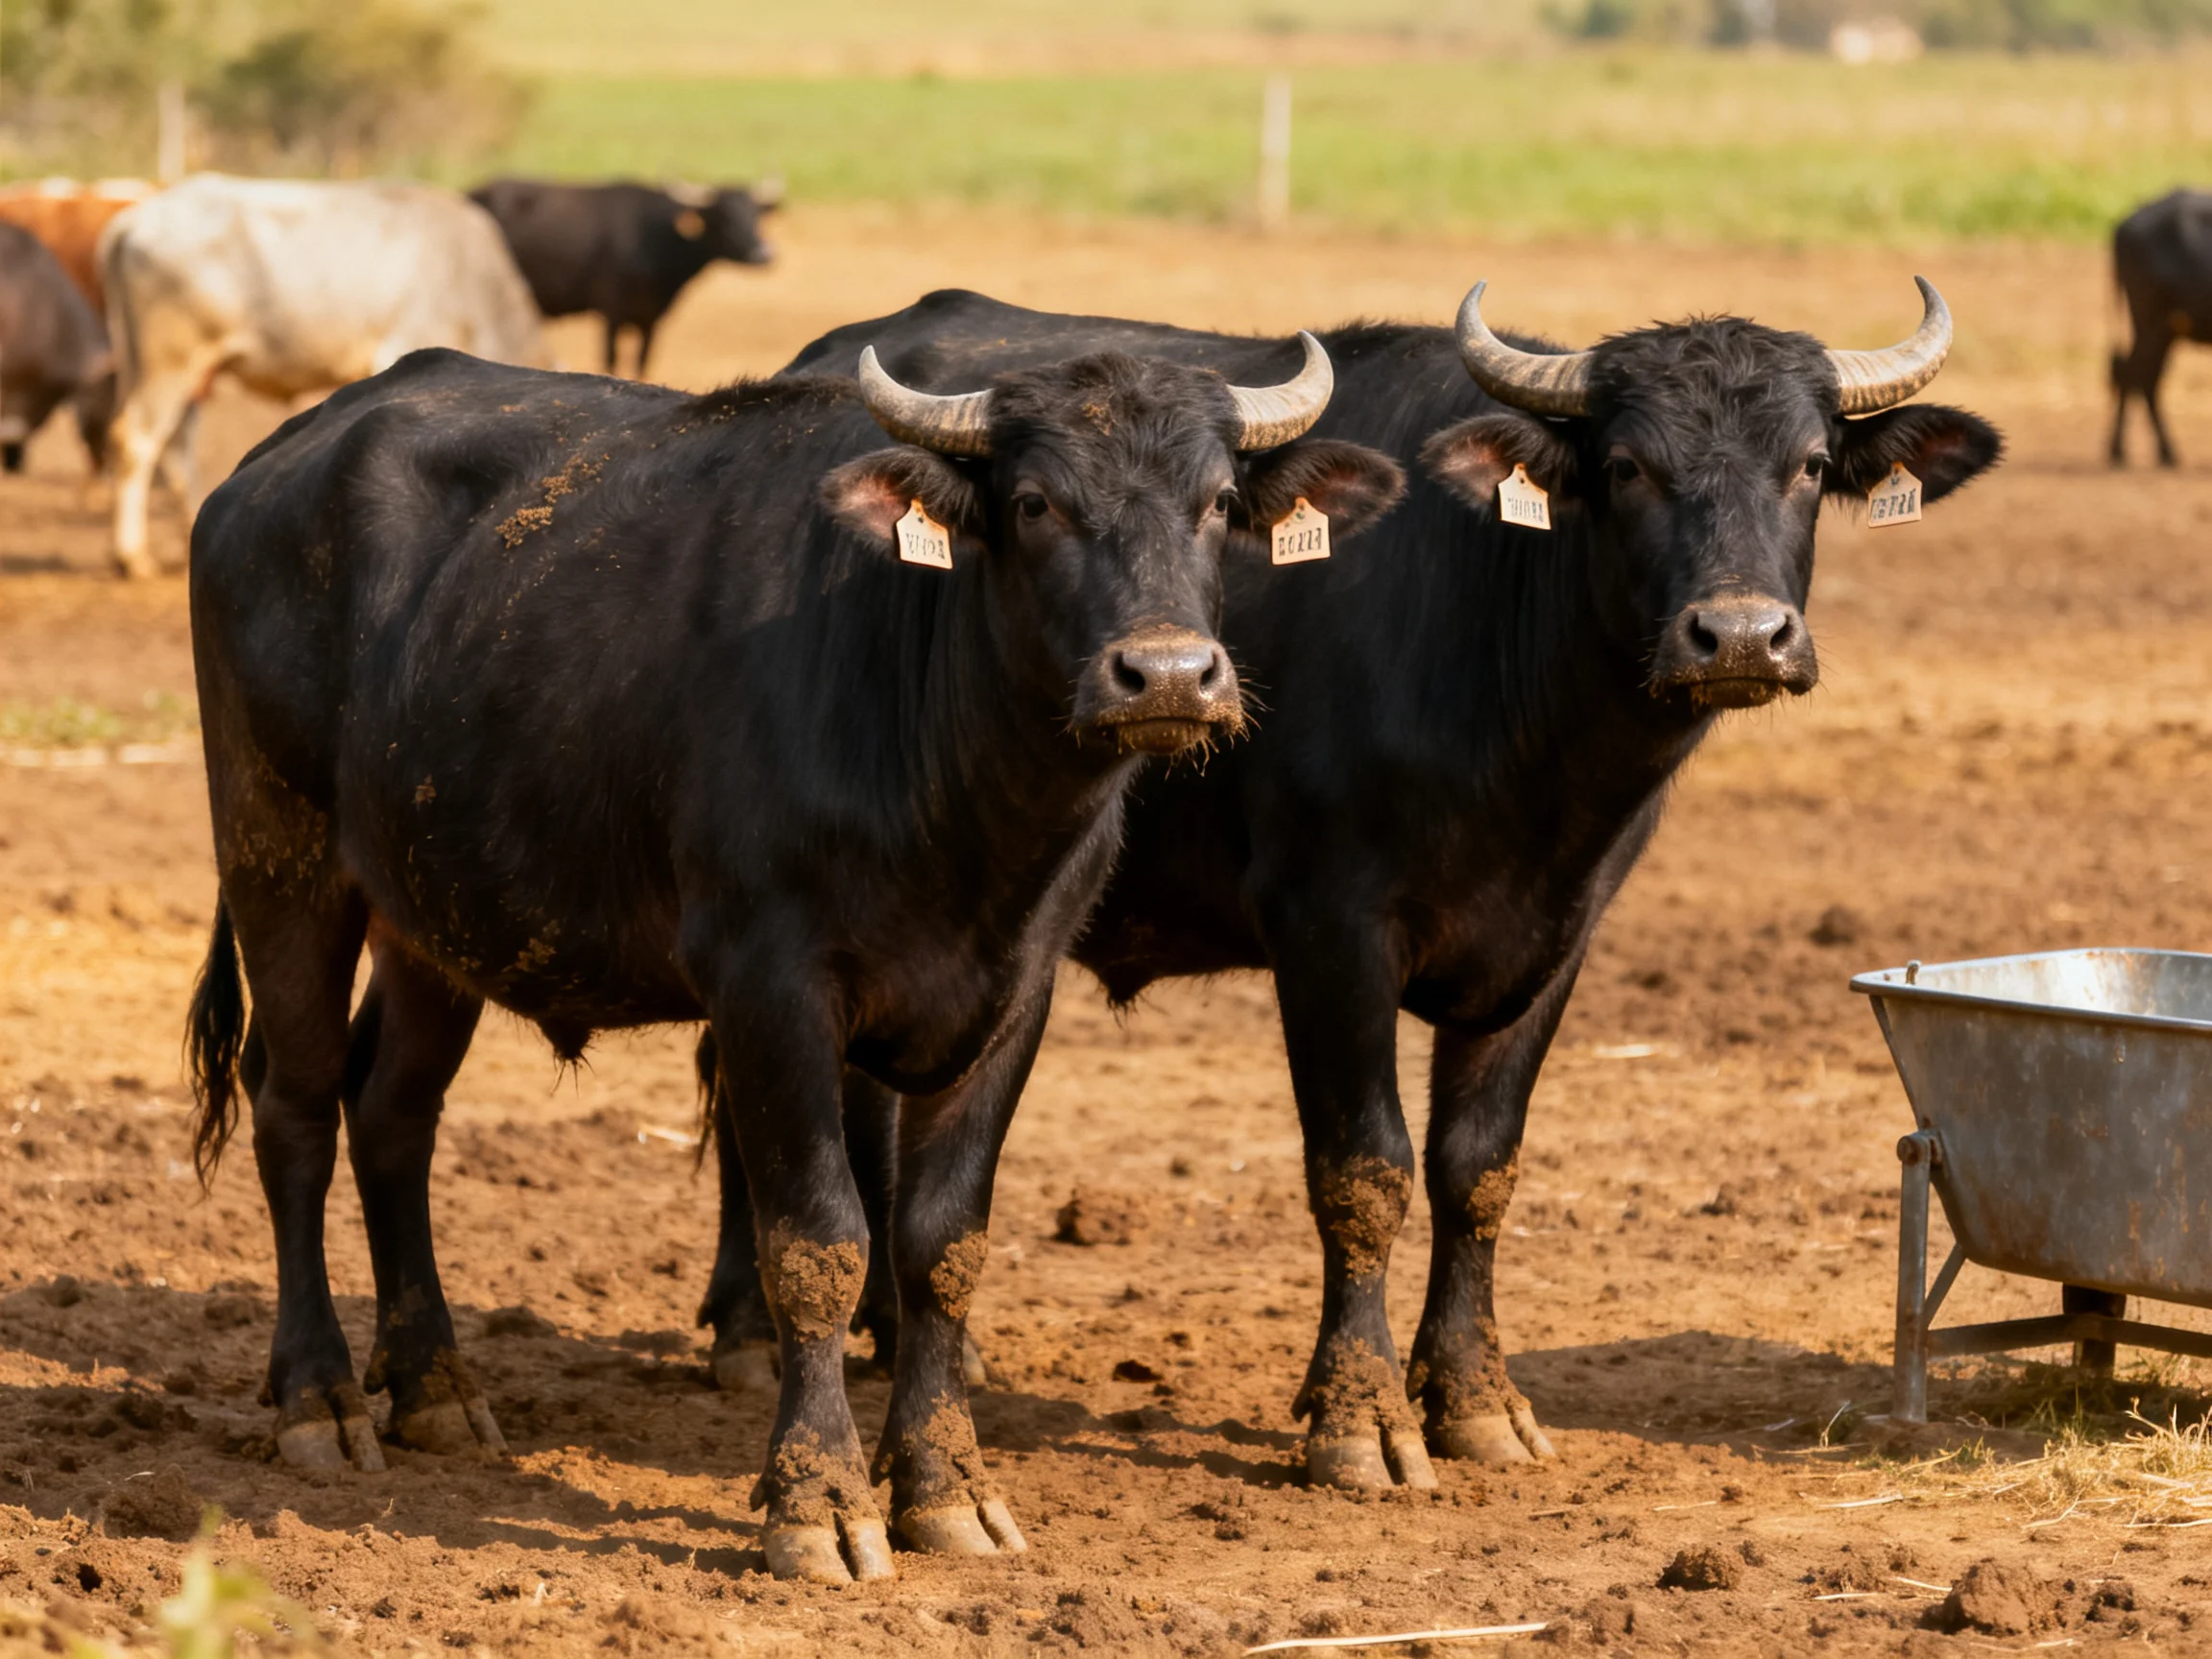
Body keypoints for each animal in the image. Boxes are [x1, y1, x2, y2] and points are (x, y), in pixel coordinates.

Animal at [181, 334, 1403, 1582]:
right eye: (1034, 502)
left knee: (393, 1115)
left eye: (1216, 504)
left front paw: (947, 1492)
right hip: (279, 856)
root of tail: (278, 460)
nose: (1166, 676)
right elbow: (819, 1242)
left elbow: (941, 1247)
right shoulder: (769, 988)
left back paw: (433, 1387)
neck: (954, 796)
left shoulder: (1016, 996)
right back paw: (319, 1400)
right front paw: (819, 1505)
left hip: (432, 918)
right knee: (295, 1112)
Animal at [468, 178, 778, 377]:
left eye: (756, 215)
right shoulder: (611, 311)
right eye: (721, 217)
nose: (763, 254)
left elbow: (641, 363)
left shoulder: (652, 319)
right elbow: (611, 360)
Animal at [692, 279, 2004, 1495]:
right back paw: (750, 1336)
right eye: (1630, 466)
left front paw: (1475, 1399)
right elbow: (1365, 1168)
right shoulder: (1330, 928)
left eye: (1810, 465)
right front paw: (1360, 1421)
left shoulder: (1554, 942)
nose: (1737, 638)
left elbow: (1478, 1167)